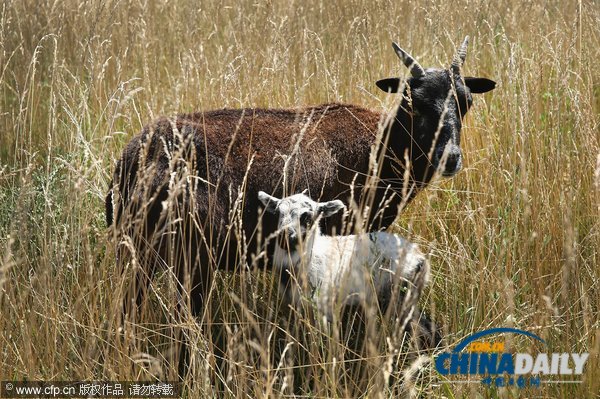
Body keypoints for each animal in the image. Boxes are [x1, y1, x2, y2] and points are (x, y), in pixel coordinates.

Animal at [258, 192, 432, 332]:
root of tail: (420, 257)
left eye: (307, 216)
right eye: (278, 213)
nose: (284, 237)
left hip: (401, 292)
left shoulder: (321, 304)